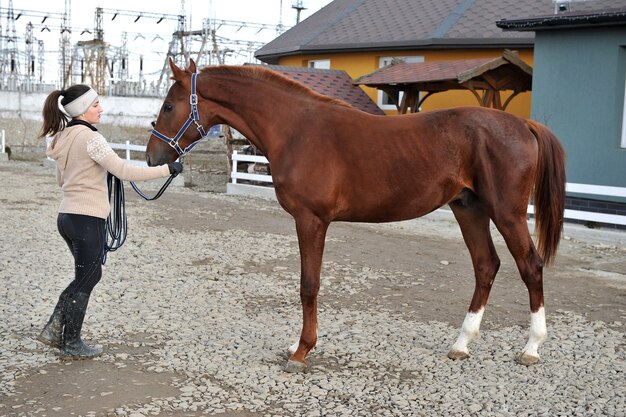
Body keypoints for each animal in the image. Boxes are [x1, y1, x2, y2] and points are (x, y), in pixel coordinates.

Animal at [147, 60, 564, 372]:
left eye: (168, 106)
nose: (153, 155)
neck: (296, 129)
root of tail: (523, 124)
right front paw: (297, 345)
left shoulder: (311, 219)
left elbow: (308, 285)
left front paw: (302, 351)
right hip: (469, 208)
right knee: (485, 266)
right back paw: (461, 343)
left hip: (506, 213)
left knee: (530, 266)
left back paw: (531, 348)